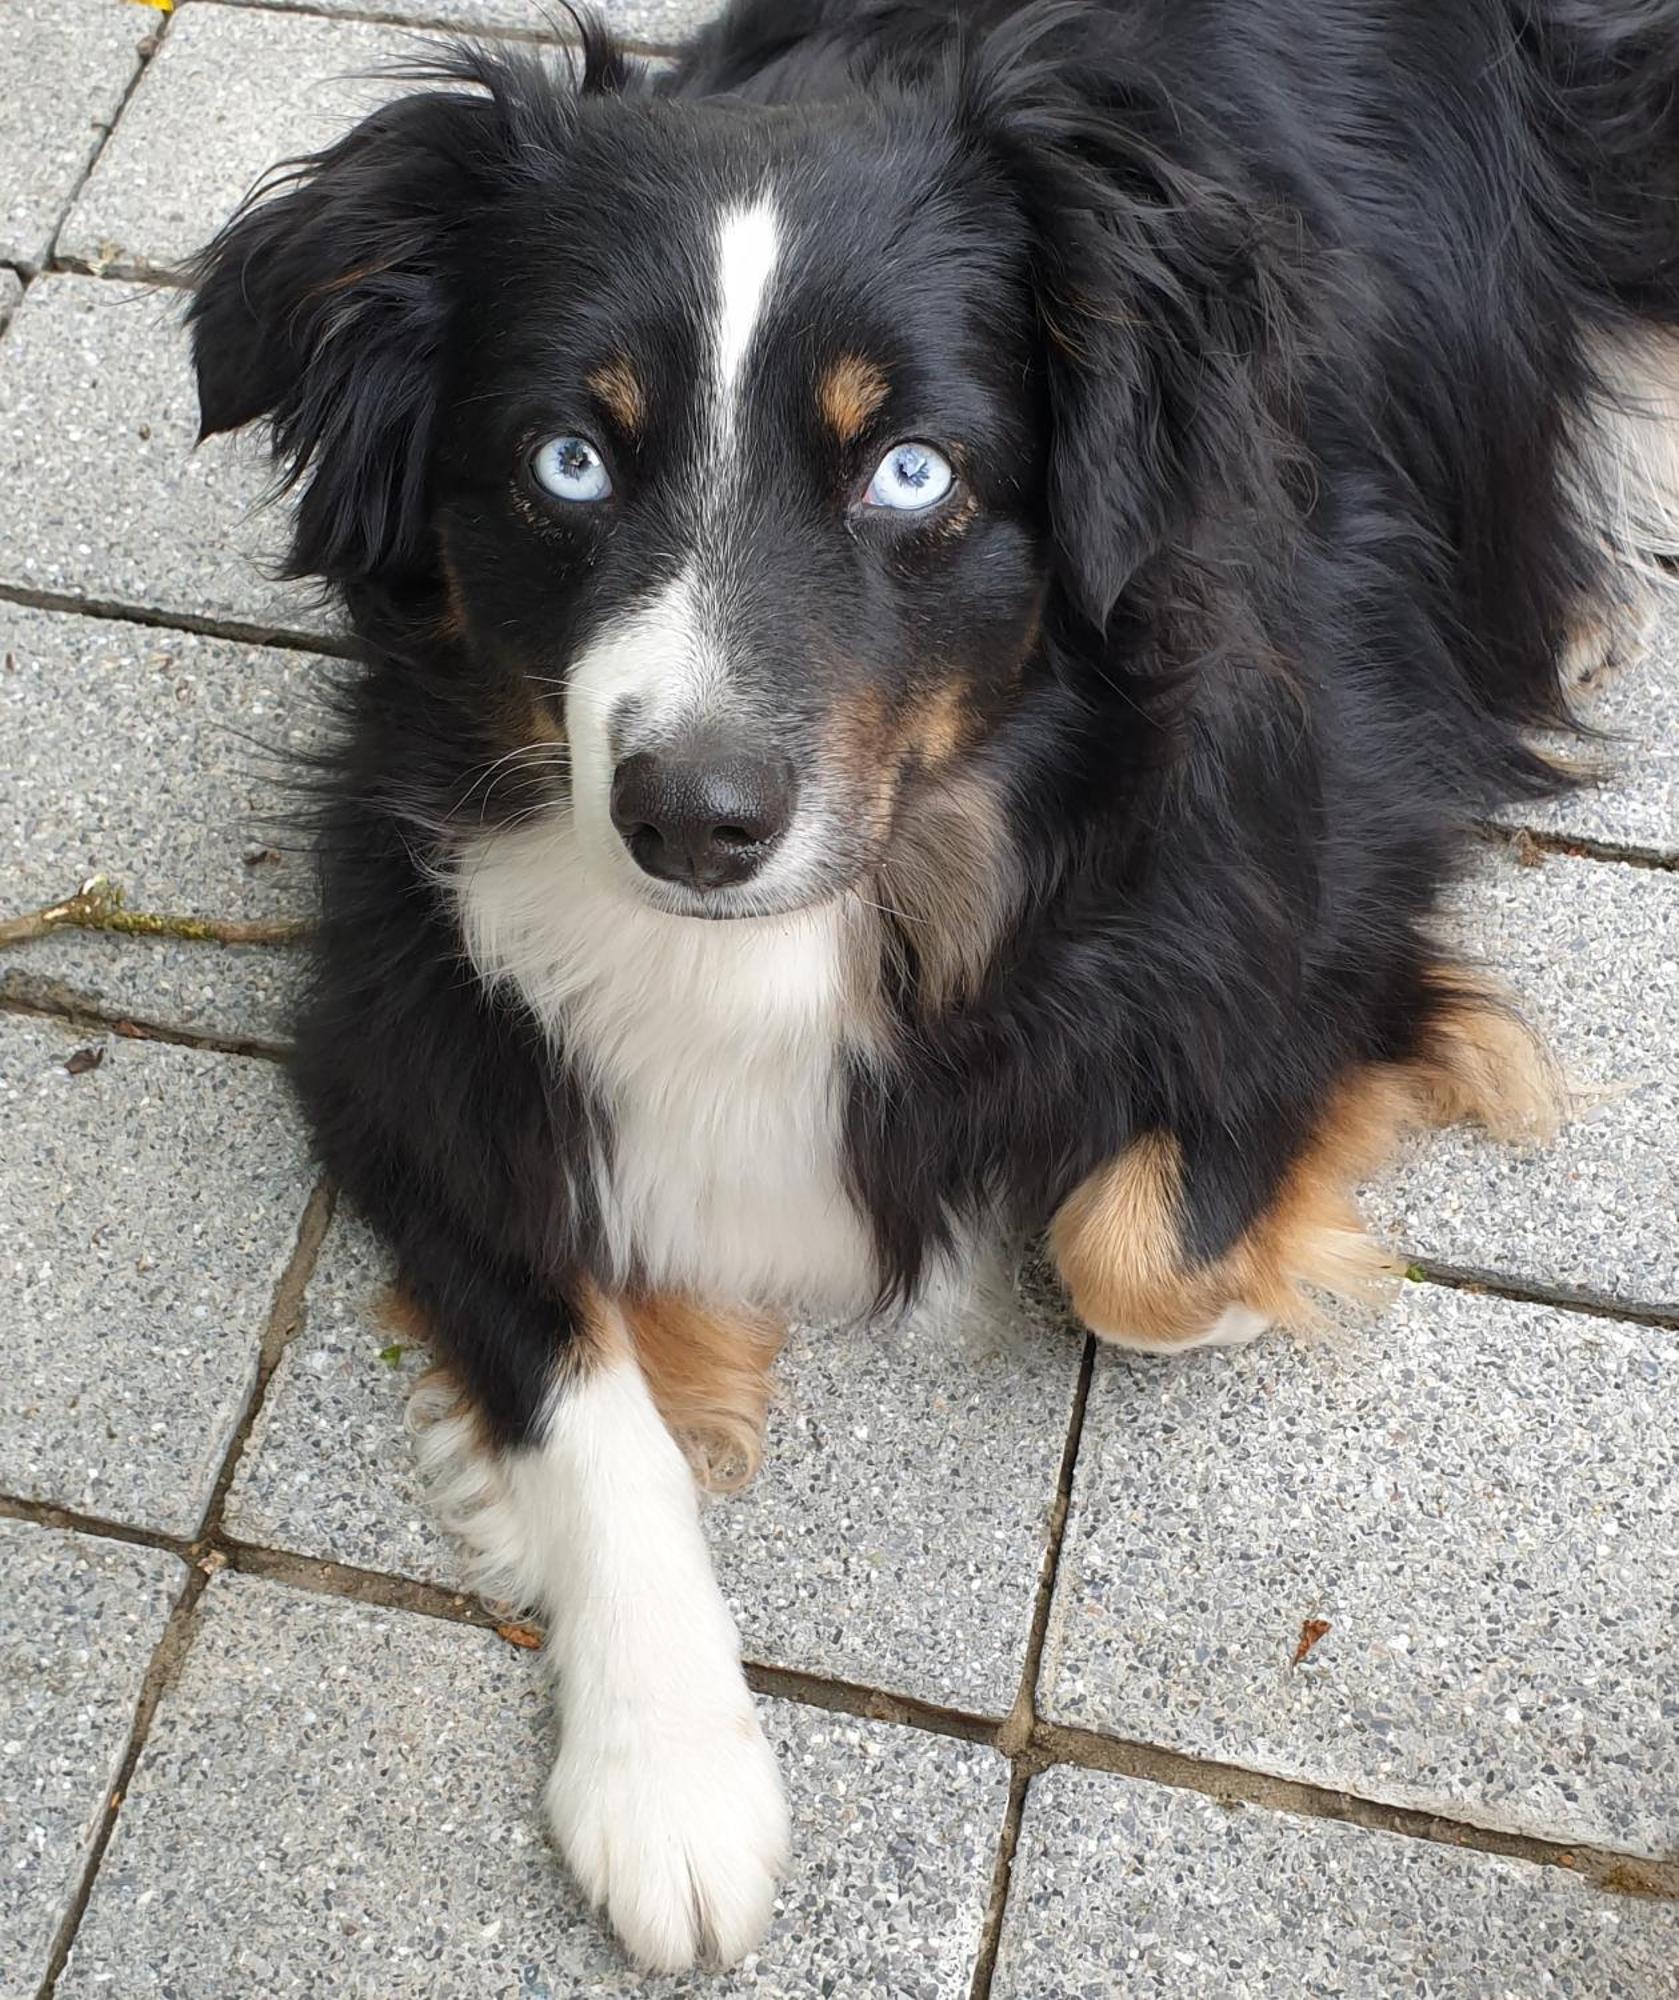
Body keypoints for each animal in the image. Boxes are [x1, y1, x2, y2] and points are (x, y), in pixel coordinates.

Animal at [186, 0, 1679, 1968]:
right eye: (567, 461)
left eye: (910, 472)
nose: (689, 822)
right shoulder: (389, 1019)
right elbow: (576, 1383)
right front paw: (667, 1776)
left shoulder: (1315, 888)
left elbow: (1134, 1251)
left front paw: (1245, 1270)